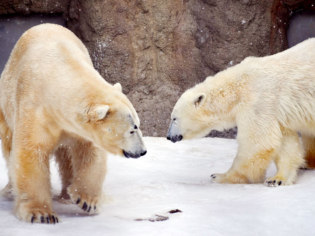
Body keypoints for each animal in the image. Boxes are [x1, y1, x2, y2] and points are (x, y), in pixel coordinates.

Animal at [0, 23, 147, 223]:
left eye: (138, 125)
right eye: (132, 129)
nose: (142, 151)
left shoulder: (77, 127)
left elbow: (89, 152)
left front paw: (86, 201)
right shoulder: (35, 109)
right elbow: (30, 151)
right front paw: (41, 214)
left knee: (66, 156)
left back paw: (66, 195)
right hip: (5, 105)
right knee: (9, 148)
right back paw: (9, 190)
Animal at [168, 38, 315, 186]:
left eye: (174, 118)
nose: (169, 137)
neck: (238, 87)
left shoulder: (258, 102)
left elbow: (258, 143)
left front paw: (220, 176)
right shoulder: (275, 112)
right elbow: (285, 141)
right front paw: (277, 179)